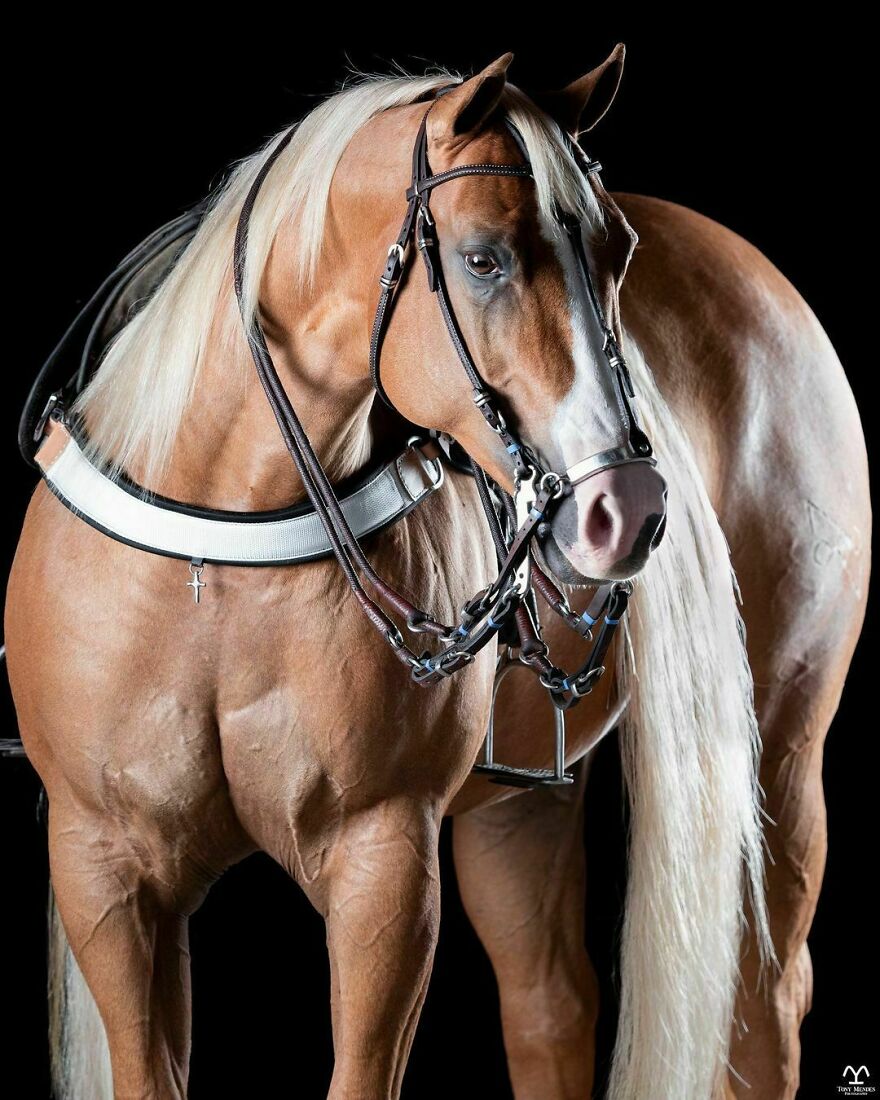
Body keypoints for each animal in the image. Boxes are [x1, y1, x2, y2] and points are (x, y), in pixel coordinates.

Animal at [4, 47, 869, 1100]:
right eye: (484, 258)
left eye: (617, 254)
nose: (627, 509)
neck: (220, 549)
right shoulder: (108, 870)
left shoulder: (383, 861)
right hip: (523, 805)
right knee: (551, 1010)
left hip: (782, 752)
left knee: (766, 1008)